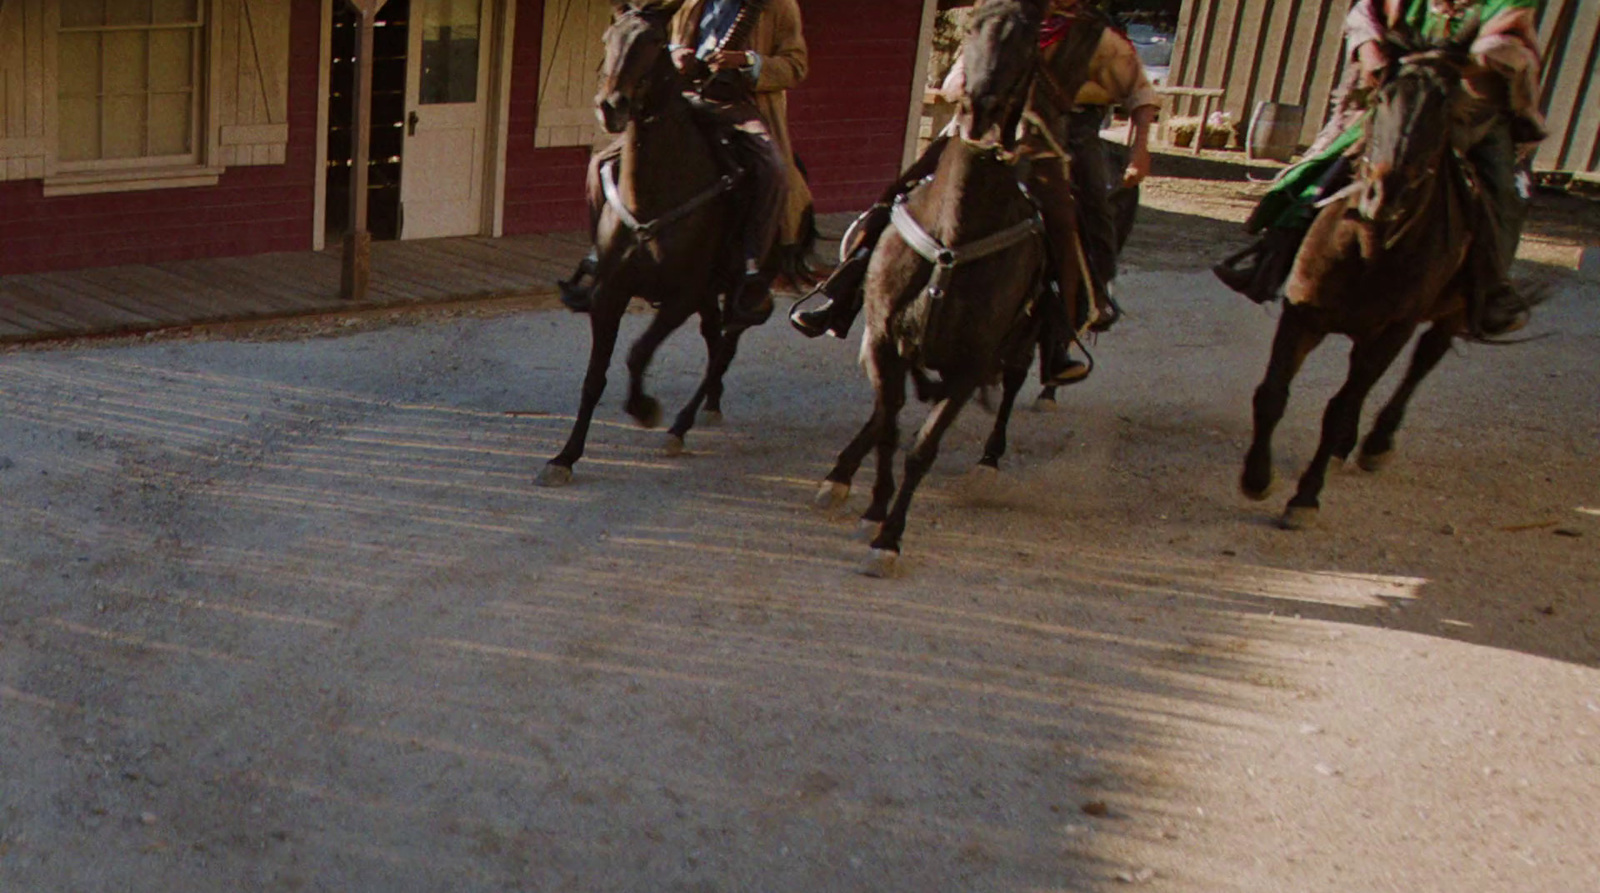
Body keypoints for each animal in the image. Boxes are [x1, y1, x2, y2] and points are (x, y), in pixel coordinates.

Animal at [540, 0, 752, 489]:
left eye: (654, 40)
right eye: (607, 38)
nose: (610, 106)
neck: (655, 196)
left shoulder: (683, 295)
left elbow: (637, 354)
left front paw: (644, 408)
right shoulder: (611, 293)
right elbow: (594, 377)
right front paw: (565, 457)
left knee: (725, 345)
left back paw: (681, 425)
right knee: (715, 340)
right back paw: (710, 403)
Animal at [812, 0, 1088, 576]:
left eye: (1029, 35)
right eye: (972, 25)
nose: (980, 104)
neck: (954, 235)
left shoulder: (972, 364)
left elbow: (923, 447)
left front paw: (889, 538)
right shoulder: (884, 339)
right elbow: (889, 427)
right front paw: (872, 507)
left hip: (1022, 340)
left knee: (1013, 384)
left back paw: (989, 461)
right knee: (887, 412)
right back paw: (841, 475)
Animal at [1235, 40, 1510, 531]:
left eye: (1445, 109)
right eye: (1381, 98)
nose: (1387, 192)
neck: (1369, 248)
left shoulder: (1393, 330)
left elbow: (1340, 407)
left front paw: (1305, 497)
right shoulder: (1302, 313)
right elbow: (1271, 393)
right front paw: (1257, 477)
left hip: (1450, 311)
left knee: (1422, 361)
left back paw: (1377, 443)